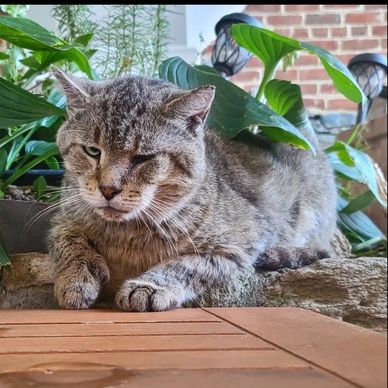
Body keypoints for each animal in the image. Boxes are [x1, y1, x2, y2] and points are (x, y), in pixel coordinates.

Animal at [48, 68, 336, 312]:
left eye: (143, 158)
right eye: (92, 151)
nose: (108, 189)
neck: (125, 234)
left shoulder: (240, 242)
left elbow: (187, 265)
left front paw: (148, 285)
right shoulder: (63, 218)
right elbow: (69, 243)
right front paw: (76, 277)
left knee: (322, 249)